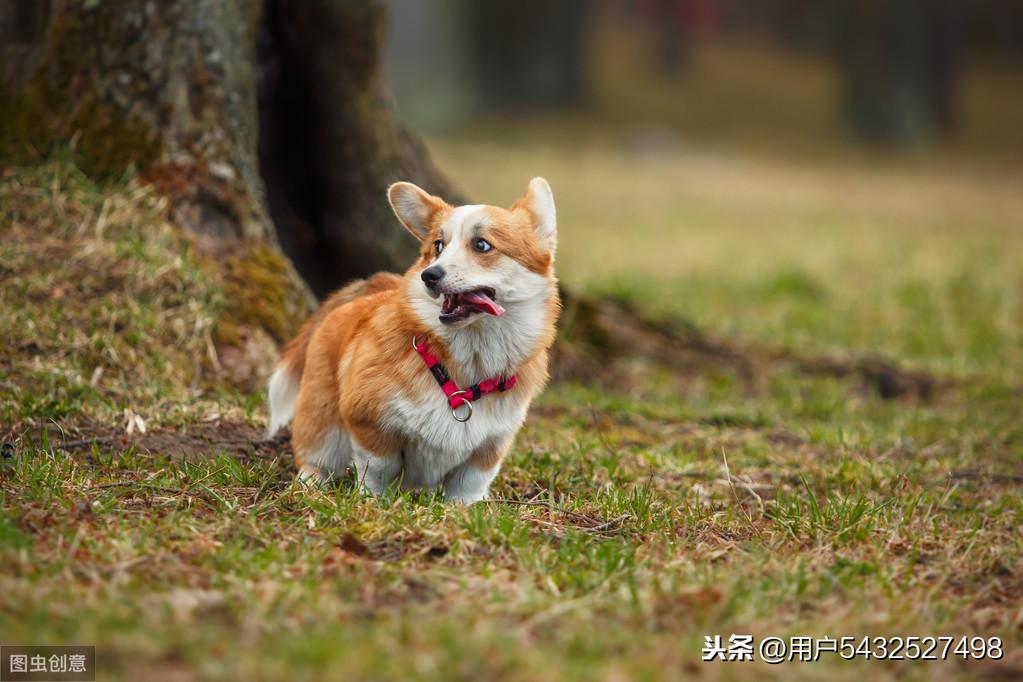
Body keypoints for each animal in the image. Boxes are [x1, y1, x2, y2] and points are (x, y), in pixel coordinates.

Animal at [265, 178, 560, 505]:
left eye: (482, 245)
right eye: (438, 246)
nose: (429, 275)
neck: (467, 365)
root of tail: (377, 288)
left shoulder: (490, 447)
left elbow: (468, 485)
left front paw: (462, 510)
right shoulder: (369, 423)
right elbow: (379, 468)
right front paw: (375, 502)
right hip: (323, 423)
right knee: (316, 459)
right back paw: (309, 487)